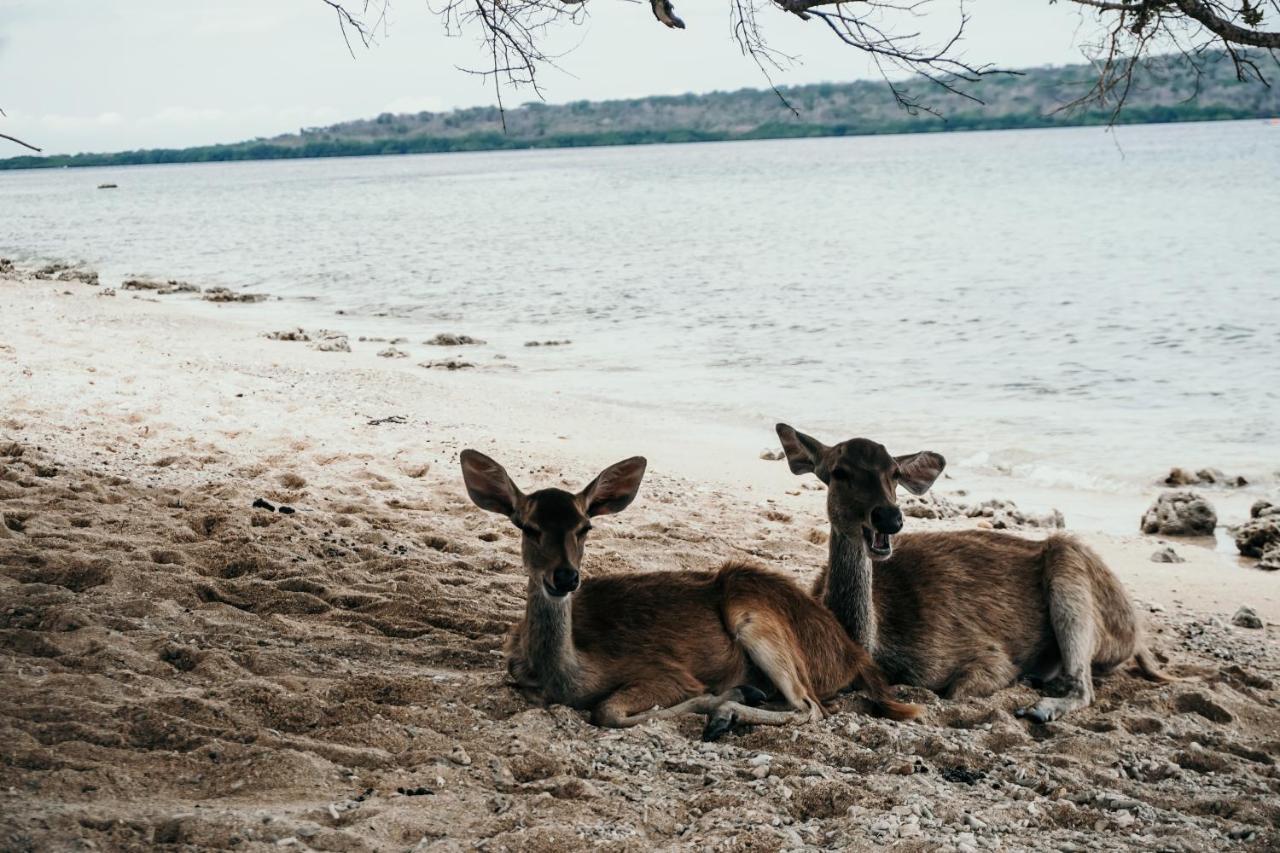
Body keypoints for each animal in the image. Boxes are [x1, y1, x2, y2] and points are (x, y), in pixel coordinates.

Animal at [460, 445, 921, 737]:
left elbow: (607, 711)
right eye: (528, 527)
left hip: (757, 617)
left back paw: (729, 710)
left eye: (584, 527)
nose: (565, 577)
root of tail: (853, 653)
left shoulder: (664, 671)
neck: (570, 675)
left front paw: (718, 699)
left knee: (812, 708)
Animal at [762, 422, 1172, 722]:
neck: (881, 645)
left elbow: (957, 690)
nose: (889, 517)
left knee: (1084, 684)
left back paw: (1040, 706)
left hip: (1073, 574)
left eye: (894, 472)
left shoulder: (987, 653)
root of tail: (1136, 635)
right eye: (838, 472)